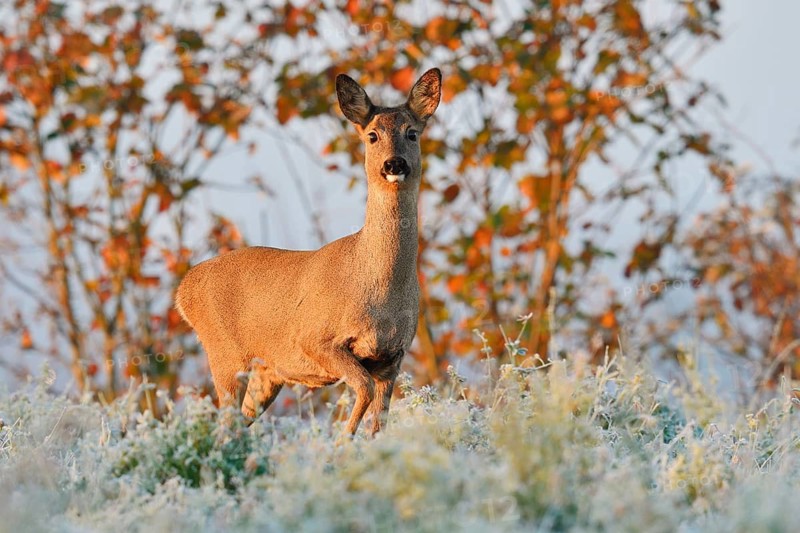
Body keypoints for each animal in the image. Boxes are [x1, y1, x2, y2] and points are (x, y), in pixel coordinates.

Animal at [175, 68, 441, 436]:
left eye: (412, 133)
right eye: (372, 135)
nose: (394, 163)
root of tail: (183, 289)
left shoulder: (392, 358)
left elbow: (379, 421)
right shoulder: (315, 339)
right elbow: (362, 388)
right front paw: (341, 441)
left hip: (266, 372)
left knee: (239, 421)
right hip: (224, 353)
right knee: (222, 423)